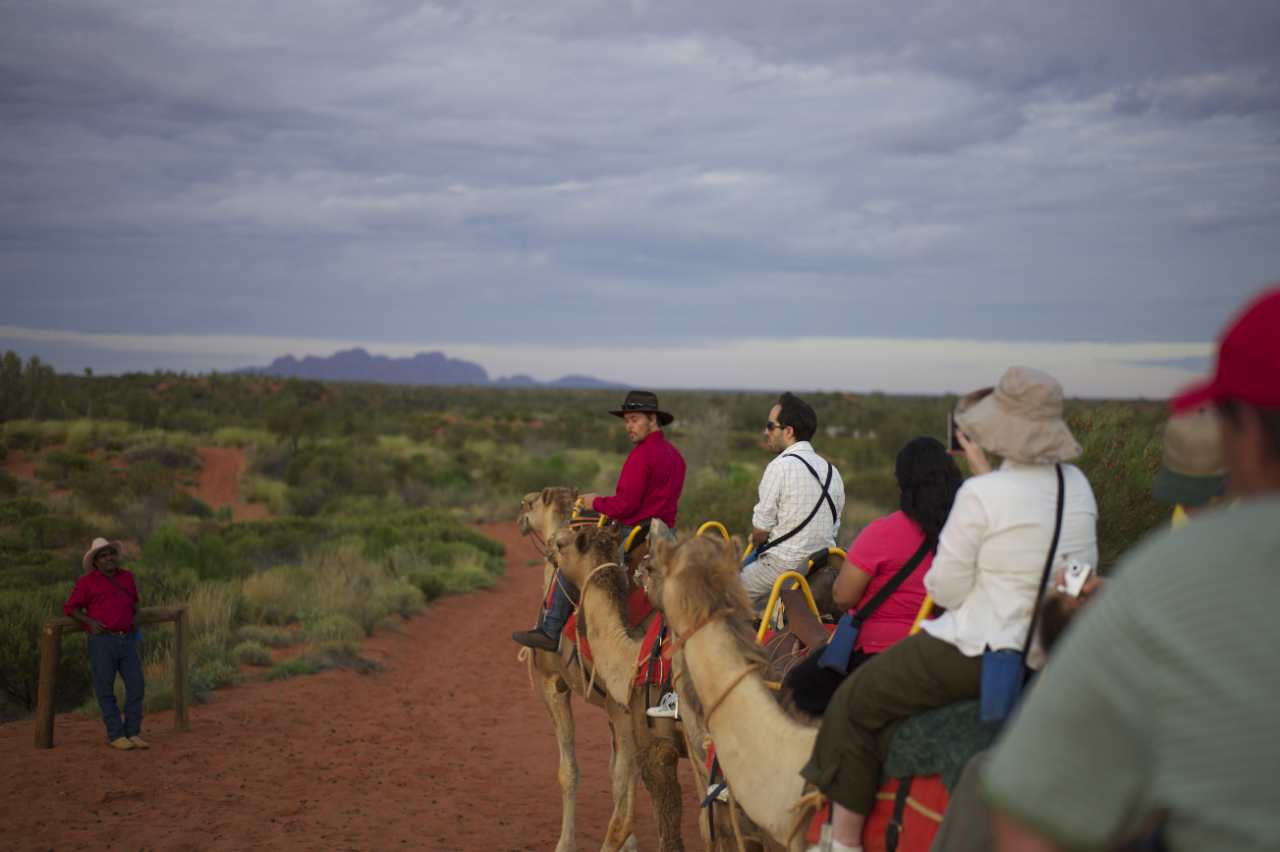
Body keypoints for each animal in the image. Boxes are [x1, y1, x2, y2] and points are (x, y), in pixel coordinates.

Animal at [514, 488, 640, 849]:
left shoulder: (553, 683)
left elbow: (569, 772)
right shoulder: (614, 711)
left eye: (529, 503)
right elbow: (615, 772)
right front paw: (631, 844)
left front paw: (564, 843)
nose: (520, 518)